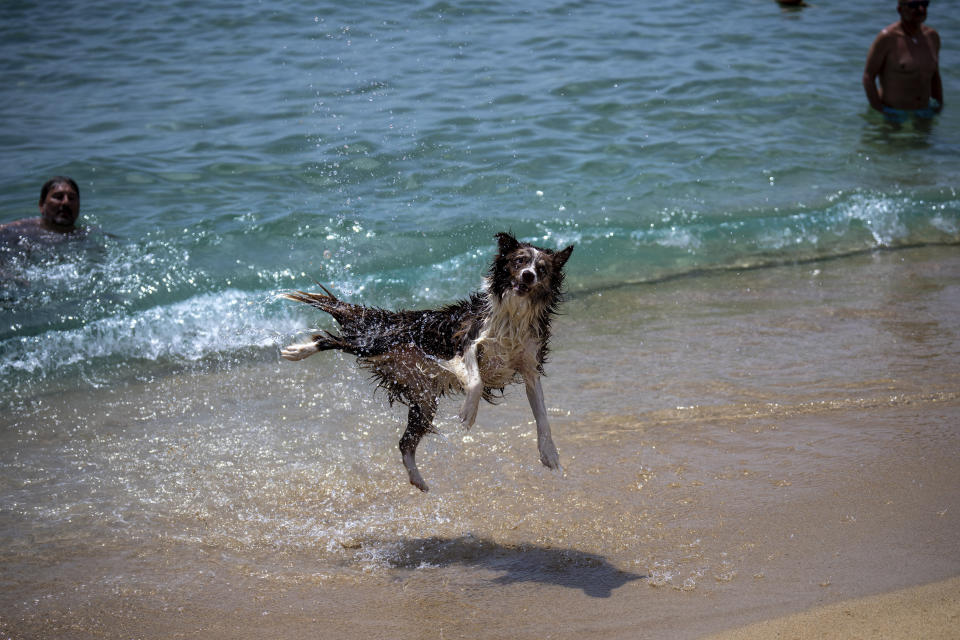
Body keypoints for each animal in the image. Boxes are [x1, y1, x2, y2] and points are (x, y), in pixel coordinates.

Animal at [282, 232, 572, 492]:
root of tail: (389, 320)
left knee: (404, 444)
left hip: (423, 400)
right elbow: (476, 381)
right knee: (329, 339)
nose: (528, 275)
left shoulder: (529, 366)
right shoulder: (466, 342)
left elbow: (542, 414)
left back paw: (418, 480)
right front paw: (468, 413)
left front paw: (550, 453)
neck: (514, 314)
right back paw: (297, 351)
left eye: (542, 269)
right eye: (520, 261)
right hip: (373, 345)